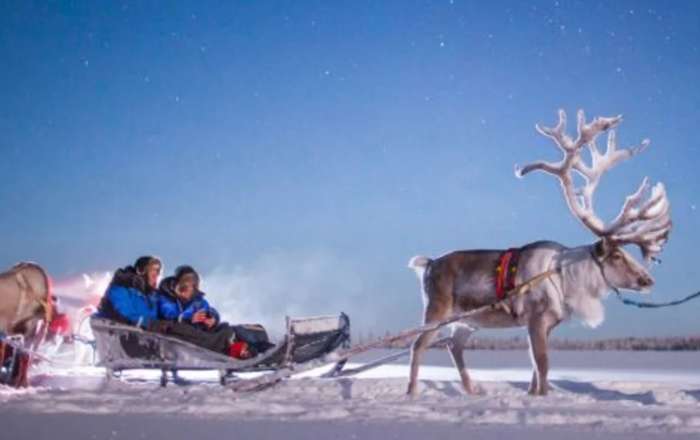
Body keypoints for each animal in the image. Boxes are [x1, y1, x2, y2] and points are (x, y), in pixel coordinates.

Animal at [407, 109, 672, 397]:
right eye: (616, 255)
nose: (647, 280)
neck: (566, 278)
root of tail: (429, 264)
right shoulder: (536, 318)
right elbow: (543, 364)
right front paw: (542, 395)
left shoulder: (549, 324)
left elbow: (536, 367)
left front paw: (534, 393)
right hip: (437, 310)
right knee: (418, 344)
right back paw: (412, 392)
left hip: (467, 322)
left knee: (453, 346)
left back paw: (472, 390)